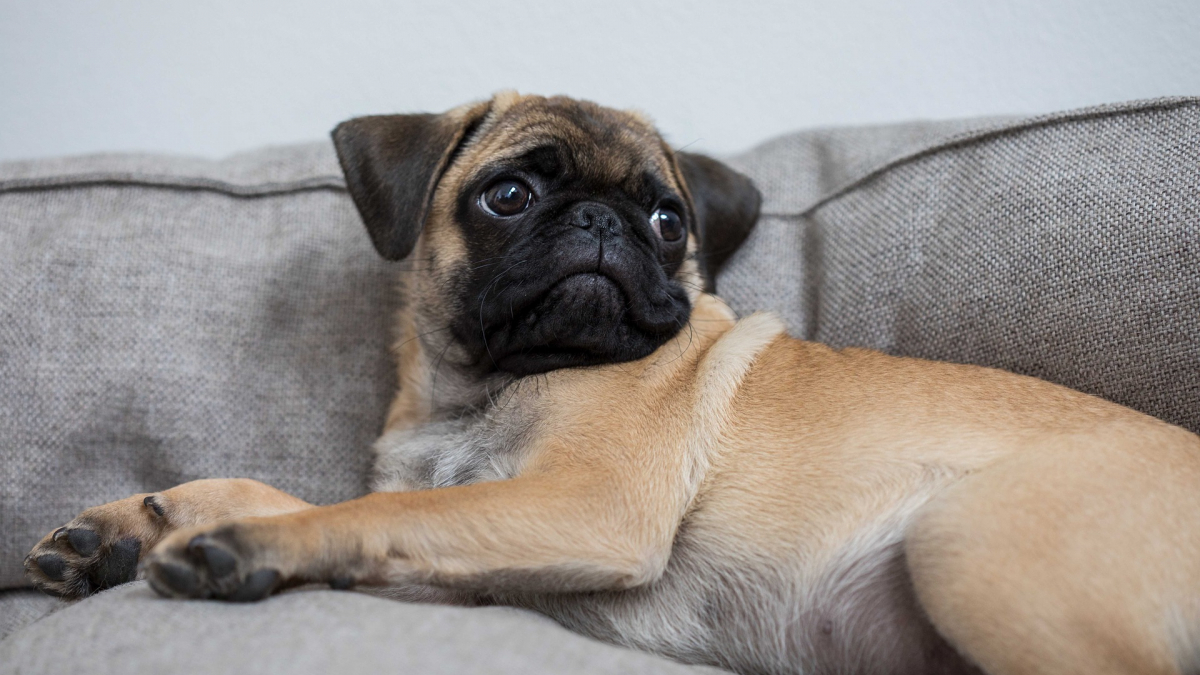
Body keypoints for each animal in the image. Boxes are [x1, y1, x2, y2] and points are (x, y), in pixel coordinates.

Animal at [21, 90, 1200, 672]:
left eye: (669, 218)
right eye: (507, 196)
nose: (602, 222)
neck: (482, 388)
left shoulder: (579, 506)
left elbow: (361, 511)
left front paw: (242, 543)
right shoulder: (479, 530)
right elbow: (330, 495)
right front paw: (129, 525)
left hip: (969, 541)